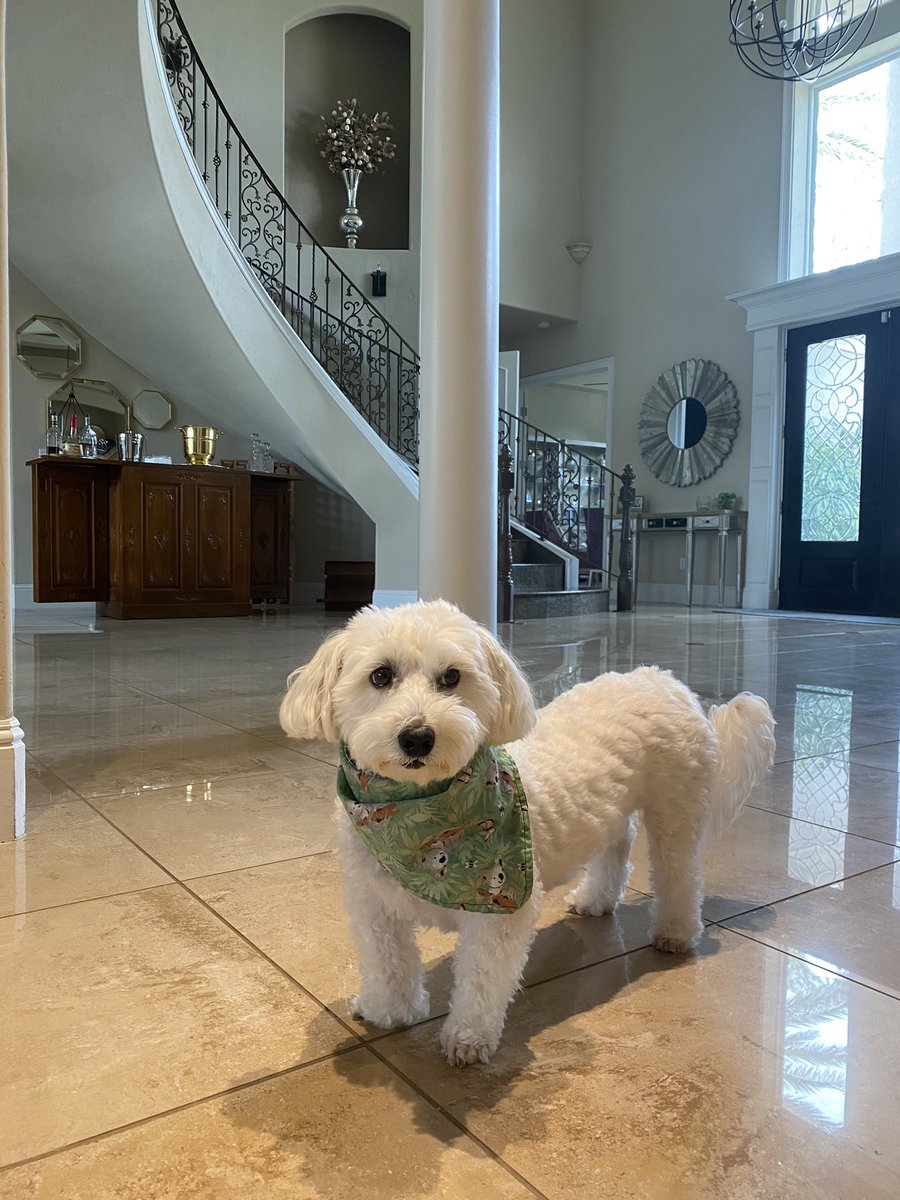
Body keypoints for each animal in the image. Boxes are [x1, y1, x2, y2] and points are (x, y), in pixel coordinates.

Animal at [282, 600, 777, 1070]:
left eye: (452, 676)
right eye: (381, 675)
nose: (418, 737)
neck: (418, 817)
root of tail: (663, 678)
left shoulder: (499, 912)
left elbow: (482, 978)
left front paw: (468, 1037)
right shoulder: (374, 902)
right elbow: (387, 963)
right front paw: (387, 1010)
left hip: (676, 809)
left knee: (680, 875)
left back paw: (675, 932)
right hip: (614, 811)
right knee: (616, 847)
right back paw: (596, 898)